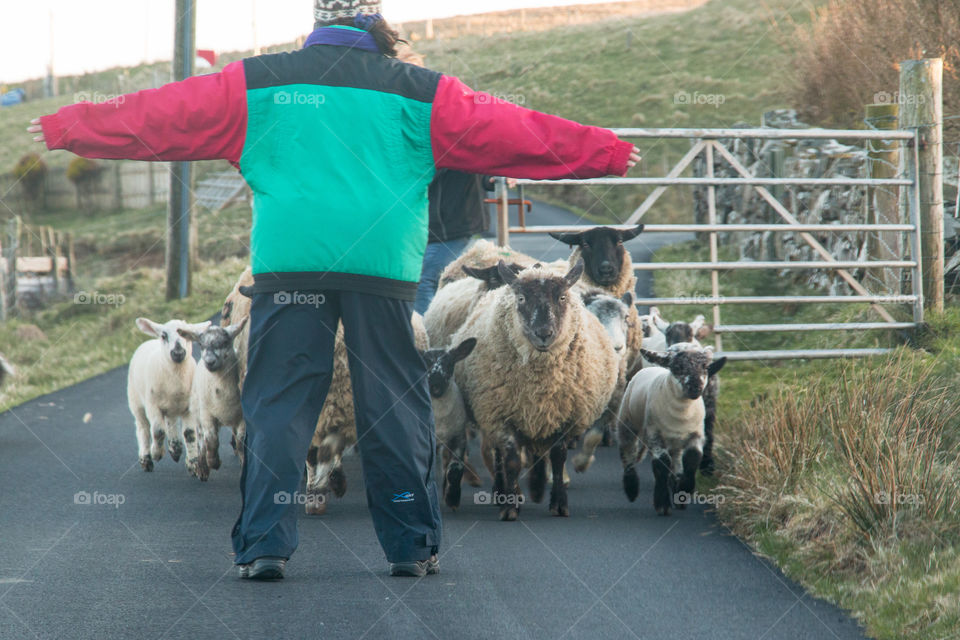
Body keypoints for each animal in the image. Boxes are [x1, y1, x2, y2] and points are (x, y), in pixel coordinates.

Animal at [126, 318, 209, 472]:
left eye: (187, 335)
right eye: (164, 336)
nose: (178, 353)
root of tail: (148, 341)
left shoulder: (189, 407)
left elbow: (189, 433)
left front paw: (193, 462)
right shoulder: (152, 405)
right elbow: (158, 431)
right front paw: (156, 453)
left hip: (172, 407)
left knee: (171, 422)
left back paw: (175, 448)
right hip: (135, 401)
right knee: (143, 427)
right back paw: (146, 458)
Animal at [177, 320, 248, 480]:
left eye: (225, 342)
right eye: (201, 345)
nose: (209, 362)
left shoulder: (242, 417)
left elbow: (241, 441)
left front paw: (243, 463)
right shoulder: (207, 414)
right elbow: (211, 439)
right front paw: (213, 462)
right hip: (198, 412)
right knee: (201, 439)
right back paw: (202, 467)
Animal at [420, 336, 480, 510]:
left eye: (449, 362)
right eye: (425, 362)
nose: (436, 382)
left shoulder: (458, 438)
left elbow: (454, 469)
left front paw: (452, 498)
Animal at [450, 260, 616, 520]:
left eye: (562, 297)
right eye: (521, 298)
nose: (544, 334)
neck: (540, 383)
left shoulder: (563, 415)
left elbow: (558, 457)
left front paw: (559, 503)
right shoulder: (501, 415)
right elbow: (511, 460)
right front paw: (509, 507)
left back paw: (536, 488)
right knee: (503, 455)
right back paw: (505, 490)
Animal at [616, 344, 728, 516]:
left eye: (705, 367)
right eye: (677, 367)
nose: (695, 387)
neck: (682, 412)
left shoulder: (696, 434)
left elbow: (693, 458)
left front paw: (685, 489)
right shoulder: (654, 435)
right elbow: (661, 464)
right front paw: (662, 503)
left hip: (675, 442)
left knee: (676, 461)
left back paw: (677, 487)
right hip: (627, 422)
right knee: (627, 453)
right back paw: (631, 489)